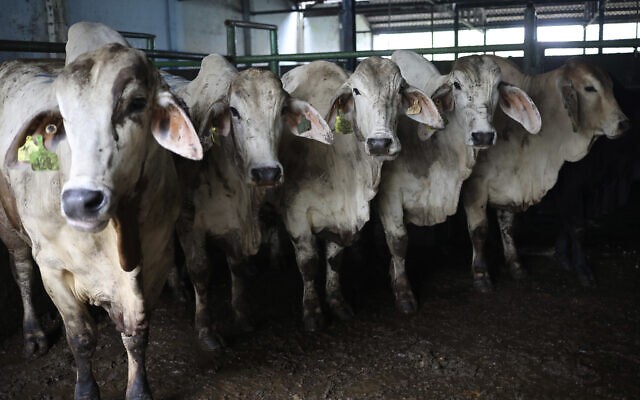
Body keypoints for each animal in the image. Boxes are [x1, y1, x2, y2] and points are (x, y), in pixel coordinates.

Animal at [0, 21, 202, 400]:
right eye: (58, 122)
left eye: (137, 103)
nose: (80, 202)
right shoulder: (53, 267)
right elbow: (80, 337)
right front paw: (85, 389)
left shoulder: (156, 257)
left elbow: (137, 338)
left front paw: (139, 390)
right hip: (10, 230)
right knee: (21, 273)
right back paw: (33, 332)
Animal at [170, 54, 332, 350]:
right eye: (234, 112)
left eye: (282, 110)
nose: (266, 172)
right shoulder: (188, 223)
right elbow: (200, 270)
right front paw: (206, 330)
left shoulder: (237, 225)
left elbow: (237, 267)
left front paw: (242, 315)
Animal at [272, 58, 444, 328]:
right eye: (356, 91)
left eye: (399, 90)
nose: (379, 143)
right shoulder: (296, 215)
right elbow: (308, 263)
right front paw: (312, 312)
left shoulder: (341, 216)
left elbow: (334, 260)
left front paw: (336, 302)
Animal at [378, 50, 544, 312]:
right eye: (456, 85)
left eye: (498, 85)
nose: (483, 135)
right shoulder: (389, 195)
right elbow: (398, 241)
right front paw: (403, 292)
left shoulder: (470, 186)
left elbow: (479, 228)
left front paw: (481, 276)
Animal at [460, 55, 632, 290]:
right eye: (589, 88)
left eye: (612, 87)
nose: (623, 123)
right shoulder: (475, 185)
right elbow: (479, 230)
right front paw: (480, 274)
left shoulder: (509, 184)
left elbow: (508, 226)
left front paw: (515, 264)